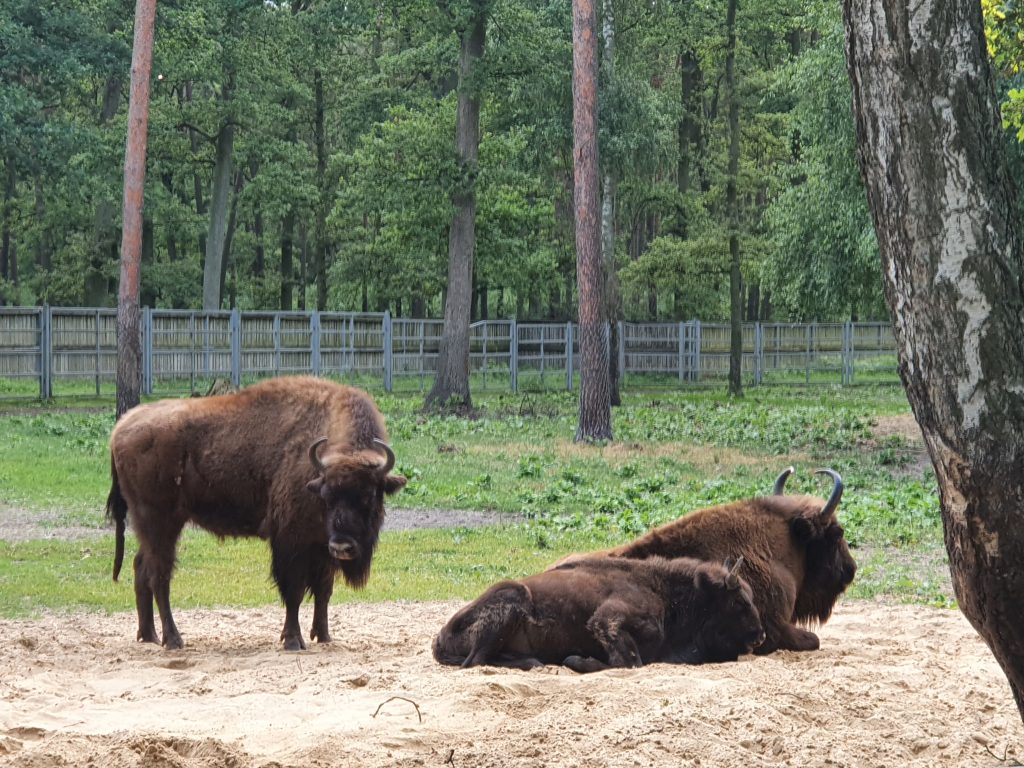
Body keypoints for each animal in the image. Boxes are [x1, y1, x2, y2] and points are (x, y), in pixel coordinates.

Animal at [107, 376, 407, 651]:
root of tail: (119, 430)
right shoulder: (291, 542)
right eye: (327, 496)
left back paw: (148, 636)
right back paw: (173, 640)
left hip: (153, 526)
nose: (343, 546)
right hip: (160, 522)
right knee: (160, 576)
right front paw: (293, 641)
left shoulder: (322, 545)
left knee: (141, 567)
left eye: (369, 495)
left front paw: (324, 637)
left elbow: (324, 591)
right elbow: (294, 592)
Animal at [433, 556, 764, 672]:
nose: (759, 636)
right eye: (739, 602)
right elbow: (629, 662)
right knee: (476, 661)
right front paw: (577, 661)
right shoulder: (608, 620)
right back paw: (535, 663)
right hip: (513, 597)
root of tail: (440, 636)